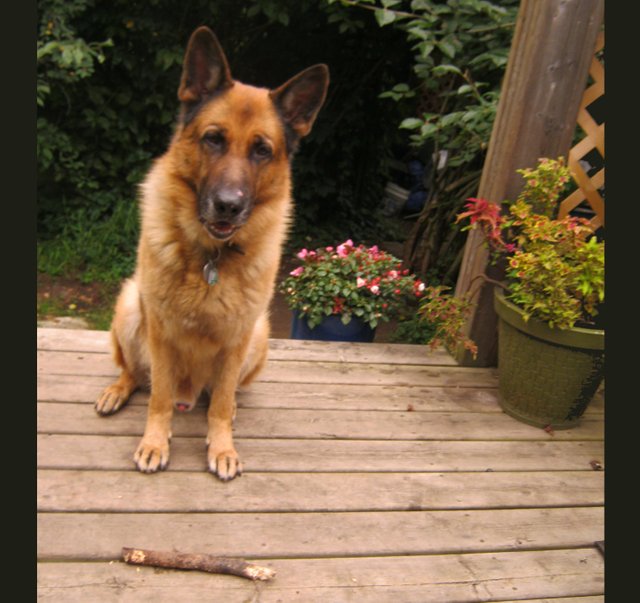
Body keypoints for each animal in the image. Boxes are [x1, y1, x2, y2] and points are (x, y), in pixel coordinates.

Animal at [95, 27, 330, 482]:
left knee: (223, 393)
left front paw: (222, 447)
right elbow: (159, 398)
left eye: (261, 150)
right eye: (213, 139)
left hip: (259, 334)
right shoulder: (160, 331)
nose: (228, 206)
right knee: (135, 373)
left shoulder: (239, 337)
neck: (212, 259)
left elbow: (219, 402)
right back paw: (118, 390)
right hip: (130, 305)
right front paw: (155, 443)